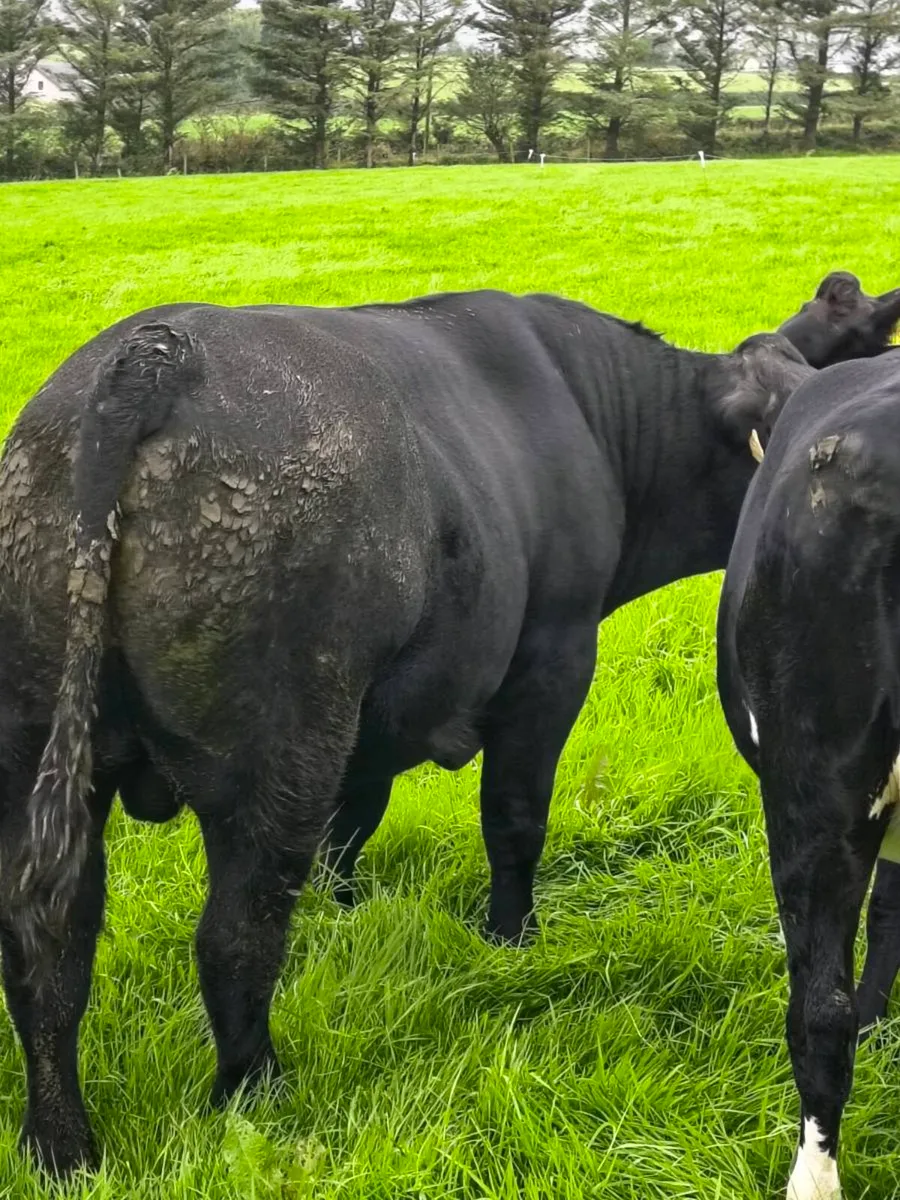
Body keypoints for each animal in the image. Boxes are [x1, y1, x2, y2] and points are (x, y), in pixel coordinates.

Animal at [1, 275, 898, 1176]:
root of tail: (151, 355)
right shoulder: (552, 659)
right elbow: (513, 818)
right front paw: (511, 937)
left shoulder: (371, 721)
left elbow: (353, 825)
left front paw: (346, 916)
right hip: (277, 746)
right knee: (233, 937)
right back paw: (254, 1093)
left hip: (41, 739)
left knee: (49, 940)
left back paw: (62, 1146)